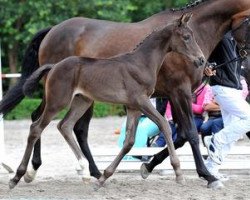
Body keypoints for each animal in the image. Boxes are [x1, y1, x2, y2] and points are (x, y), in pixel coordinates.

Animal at [9, 14, 205, 189]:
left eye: (194, 36)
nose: (201, 59)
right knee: (36, 128)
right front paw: (179, 173)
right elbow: (164, 124)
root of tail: (54, 66)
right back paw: (18, 176)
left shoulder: (133, 107)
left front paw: (104, 177)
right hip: (58, 101)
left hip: (82, 101)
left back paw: (84, 171)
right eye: (186, 37)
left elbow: (129, 142)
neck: (141, 62)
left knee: (65, 126)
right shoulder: (142, 101)